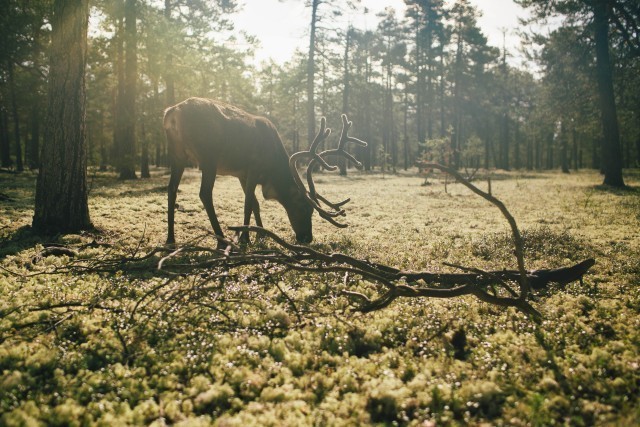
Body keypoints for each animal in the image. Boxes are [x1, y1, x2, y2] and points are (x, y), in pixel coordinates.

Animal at [162, 96, 368, 247]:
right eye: (303, 207)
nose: (307, 238)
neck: (272, 172)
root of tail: (172, 113)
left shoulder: (242, 175)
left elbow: (255, 203)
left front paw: (261, 233)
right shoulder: (253, 167)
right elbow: (248, 203)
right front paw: (245, 238)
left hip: (176, 155)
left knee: (171, 189)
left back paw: (170, 239)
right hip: (208, 157)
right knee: (204, 193)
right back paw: (222, 239)